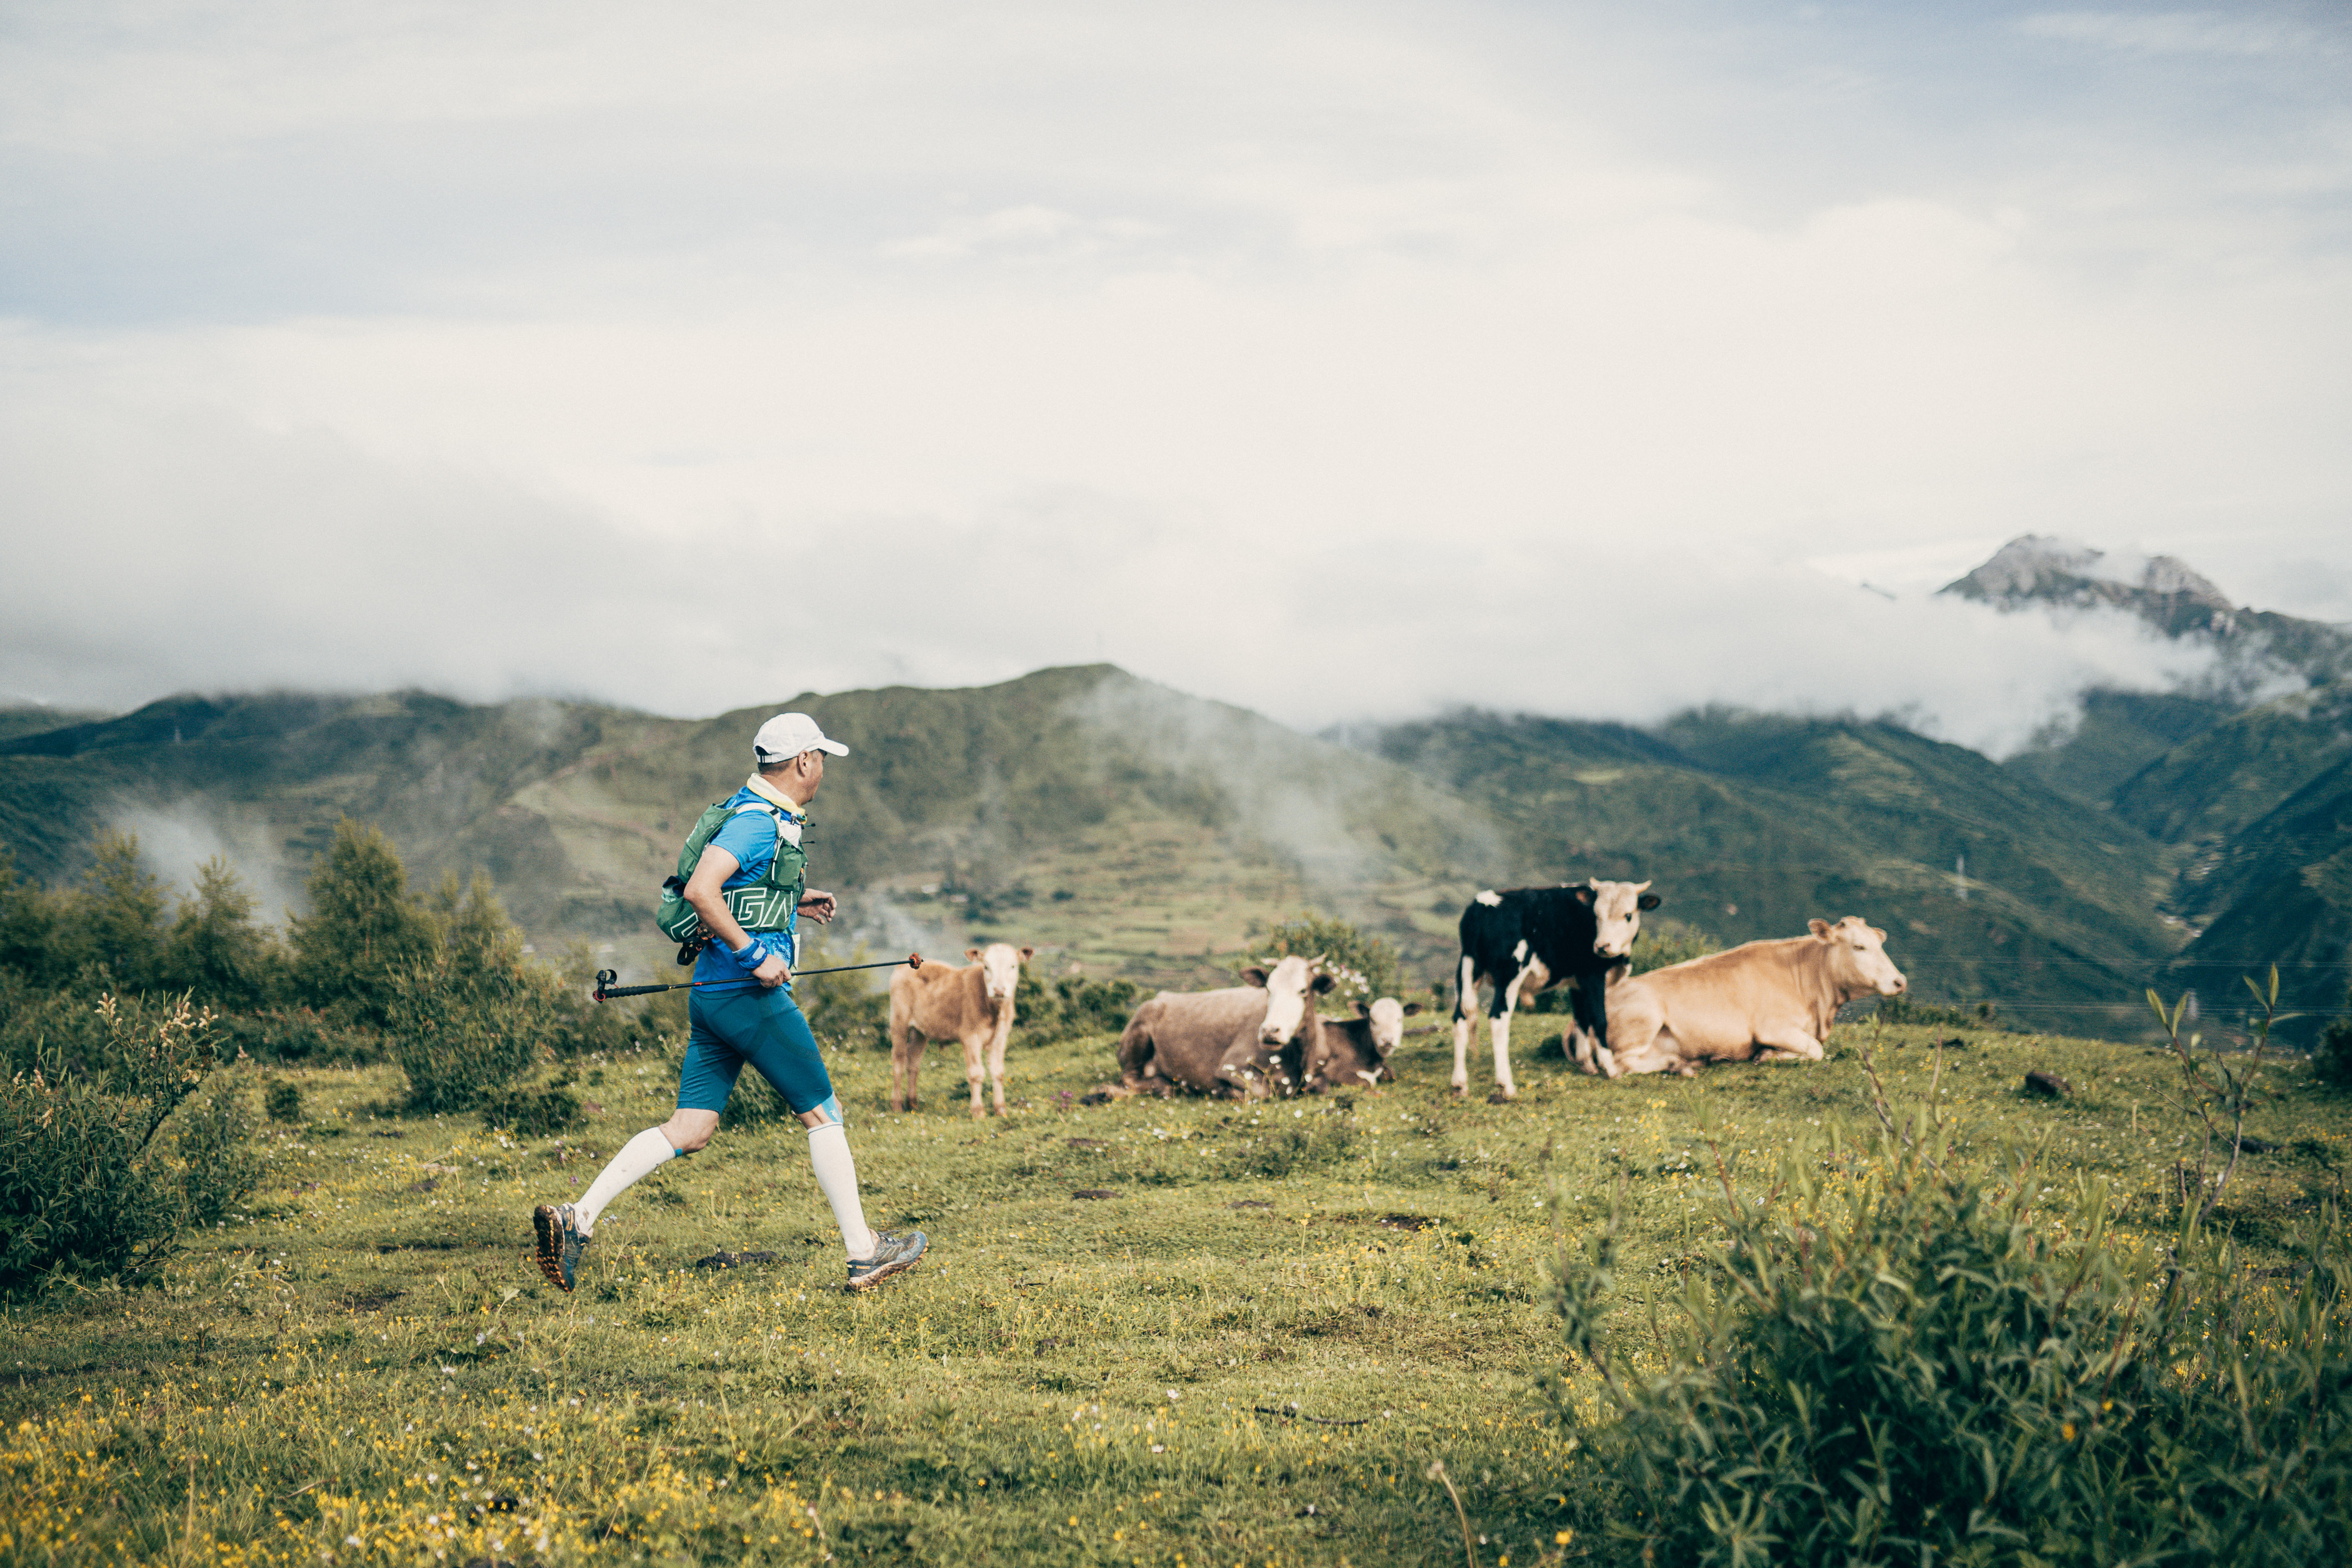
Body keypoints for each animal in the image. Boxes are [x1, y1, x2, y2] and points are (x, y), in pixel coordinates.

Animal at [887, 942, 1034, 1116]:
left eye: (1013, 966)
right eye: (986, 966)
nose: (999, 990)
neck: (994, 1011)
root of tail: (905, 965)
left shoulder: (1001, 1037)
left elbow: (998, 1072)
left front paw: (1001, 1110)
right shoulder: (970, 1037)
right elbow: (976, 1073)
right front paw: (978, 1112)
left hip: (921, 1031)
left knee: (913, 1062)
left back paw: (913, 1103)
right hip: (899, 1022)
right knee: (899, 1062)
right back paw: (897, 1105)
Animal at [1112, 955, 1333, 1099]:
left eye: (1303, 990)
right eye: (1269, 989)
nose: (1270, 1031)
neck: (1299, 1058)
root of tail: (1161, 997)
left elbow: (1323, 1086)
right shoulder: (1231, 1065)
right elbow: (1261, 1093)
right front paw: (1223, 1091)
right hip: (1139, 1033)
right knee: (1129, 1077)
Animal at [1293, 997, 1422, 1093]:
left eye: (1399, 1020)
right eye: (1373, 1020)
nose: (1388, 1040)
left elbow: (1391, 1073)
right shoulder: (1332, 1071)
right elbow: (1368, 1082)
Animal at [1452, 880, 1660, 1099]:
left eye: (1628, 915)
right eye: (1596, 914)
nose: (1602, 946)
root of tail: (1482, 904)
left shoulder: (1577, 982)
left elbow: (1581, 1019)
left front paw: (1587, 1065)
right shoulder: (1593, 976)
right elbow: (1599, 1019)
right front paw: (1610, 1069)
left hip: (1467, 971)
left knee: (1460, 1018)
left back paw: (1460, 1085)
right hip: (1510, 974)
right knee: (1498, 1019)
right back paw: (1506, 1085)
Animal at [1602, 916, 1907, 1077]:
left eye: (1880, 944)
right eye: (1859, 947)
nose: (1900, 981)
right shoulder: (1772, 1027)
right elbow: (1816, 1051)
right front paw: (1769, 1055)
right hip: (1645, 1017)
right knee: (1619, 1066)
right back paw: (1677, 1065)